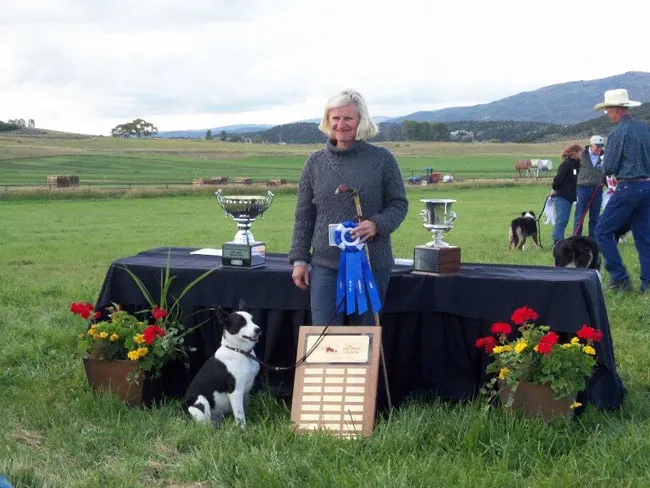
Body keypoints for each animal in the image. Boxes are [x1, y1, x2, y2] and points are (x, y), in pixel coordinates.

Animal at [181, 302, 260, 430]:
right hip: (200, 401)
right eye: (241, 322)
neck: (239, 351)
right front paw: (243, 430)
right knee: (206, 425)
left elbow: (243, 410)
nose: (258, 329)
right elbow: (240, 415)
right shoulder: (235, 392)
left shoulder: (244, 392)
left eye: (252, 320)